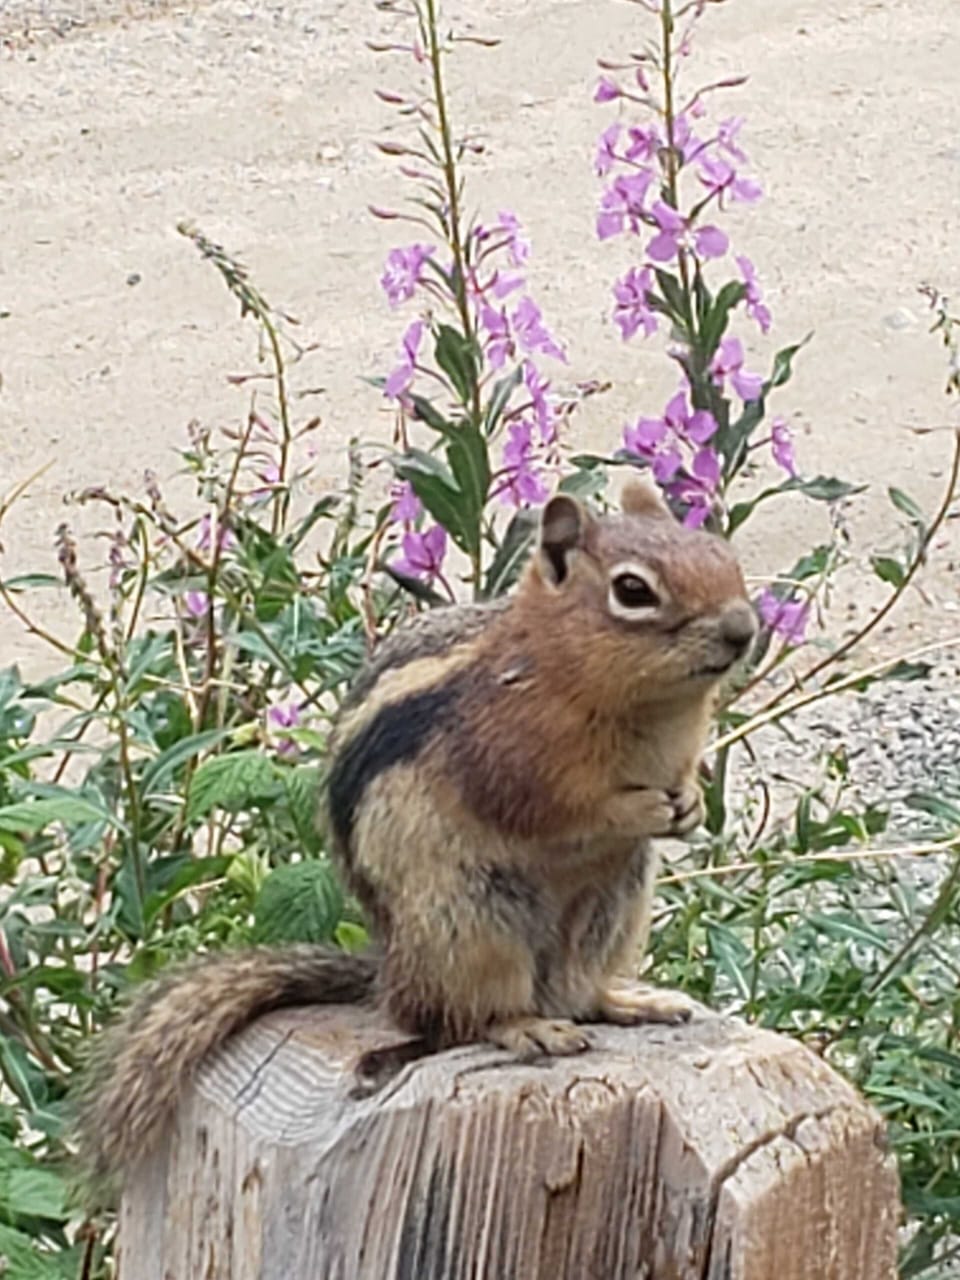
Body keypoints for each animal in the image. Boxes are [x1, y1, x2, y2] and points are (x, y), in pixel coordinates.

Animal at [74, 478, 756, 1188]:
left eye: (722, 555)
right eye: (632, 590)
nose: (743, 630)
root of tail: (390, 973)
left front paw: (689, 806)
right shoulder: (506, 755)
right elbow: (554, 809)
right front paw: (641, 811)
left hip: (613, 906)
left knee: (575, 989)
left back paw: (624, 1001)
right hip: (469, 922)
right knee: (460, 1016)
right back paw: (525, 1027)